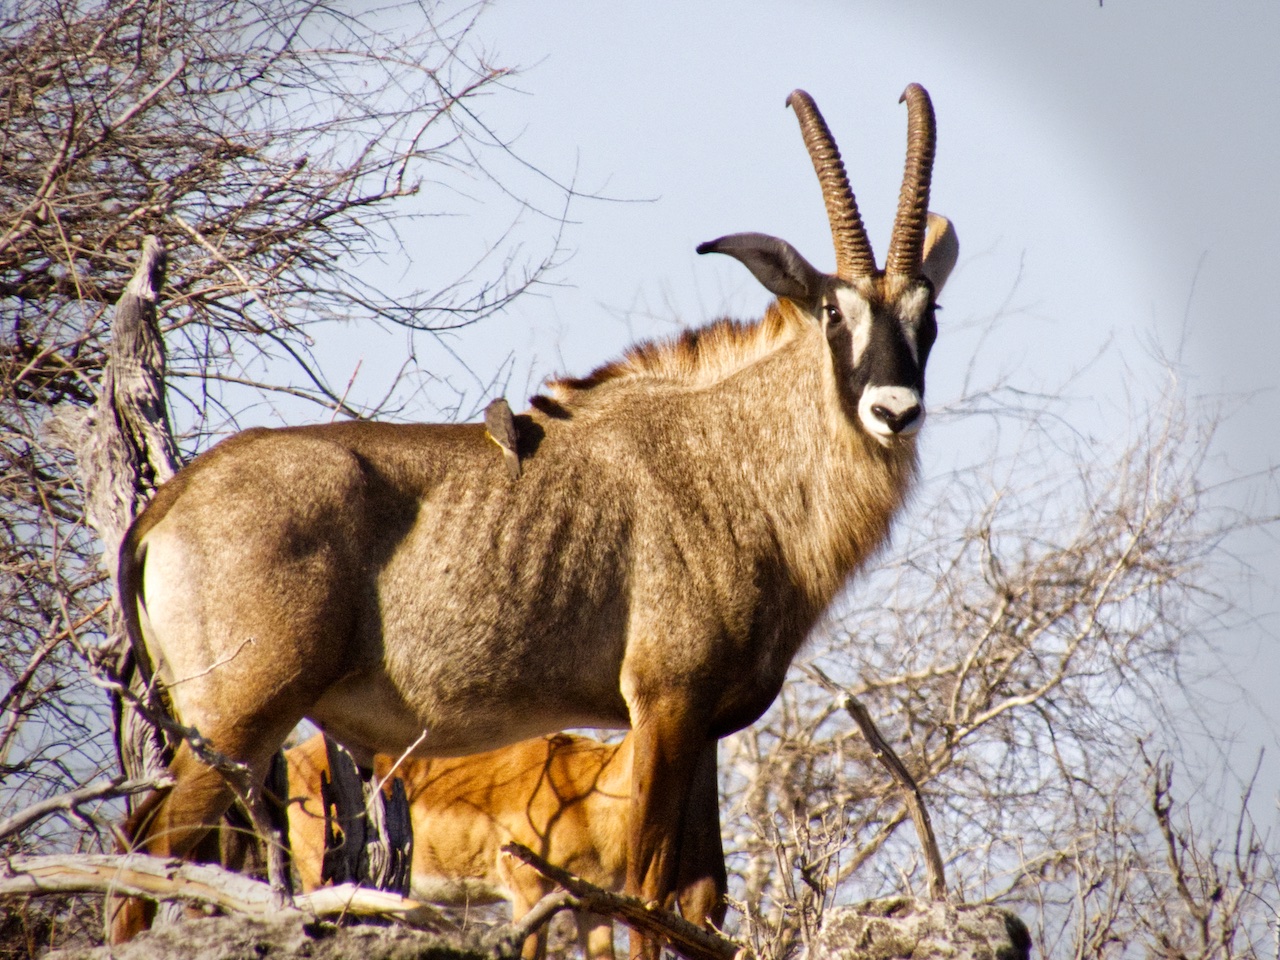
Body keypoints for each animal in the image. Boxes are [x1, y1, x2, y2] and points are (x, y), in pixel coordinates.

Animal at [115, 84, 962, 957]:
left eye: (929, 311)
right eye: (832, 312)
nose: (894, 410)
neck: (733, 457)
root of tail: (167, 508)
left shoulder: (704, 726)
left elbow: (701, 901)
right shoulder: (664, 705)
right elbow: (646, 894)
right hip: (238, 722)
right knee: (148, 850)